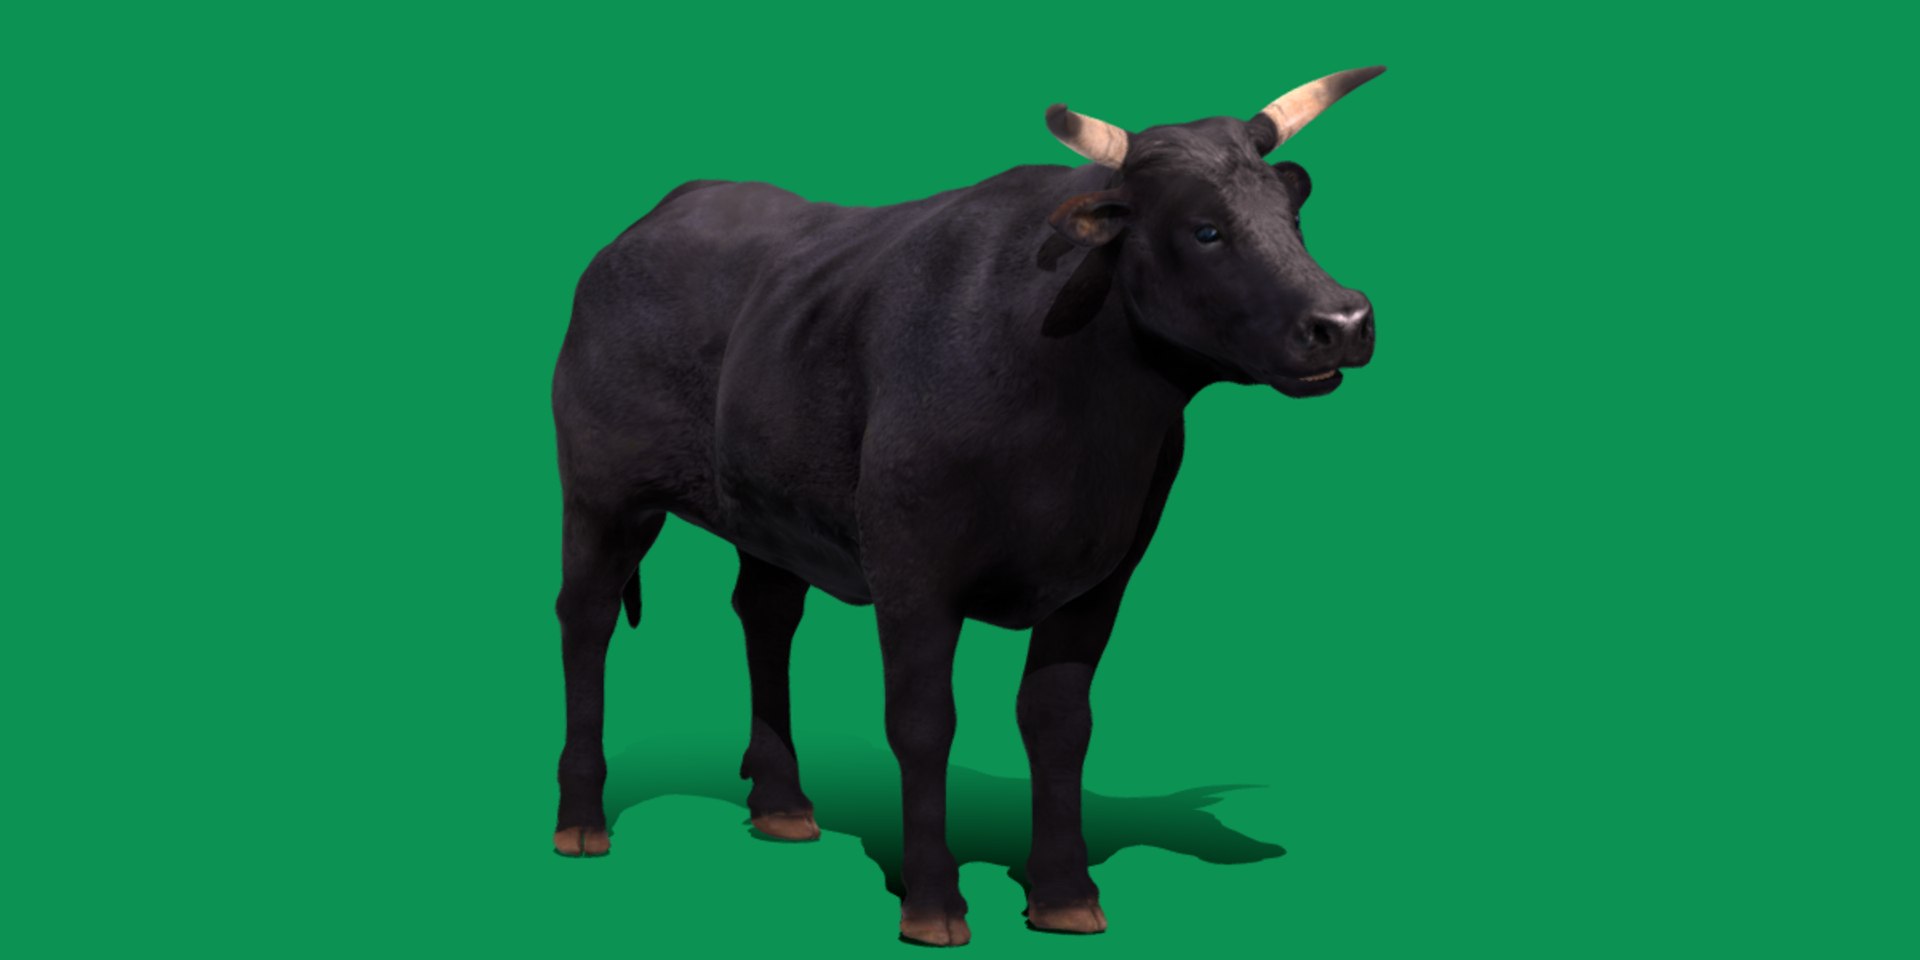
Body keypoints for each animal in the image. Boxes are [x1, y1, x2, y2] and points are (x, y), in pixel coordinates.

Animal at [550, 66, 1386, 945]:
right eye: (1204, 230)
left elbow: (1058, 722)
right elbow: (923, 723)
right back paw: (581, 821)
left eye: (1292, 218)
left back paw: (782, 806)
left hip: (768, 509)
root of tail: (655, 217)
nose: (1343, 320)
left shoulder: (1102, 575)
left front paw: (1065, 895)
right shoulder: (912, 572)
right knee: (587, 618)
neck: (1077, 428)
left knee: (766, 615)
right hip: (601, 494)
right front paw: (932, 902)